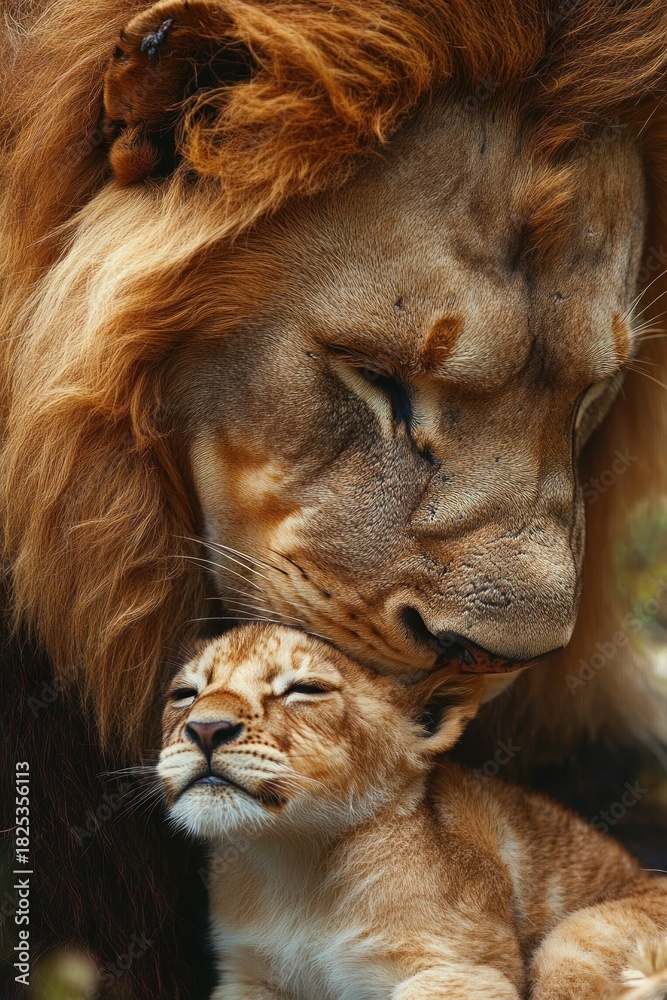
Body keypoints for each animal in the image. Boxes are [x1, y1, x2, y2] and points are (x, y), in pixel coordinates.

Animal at [160, 623, 667, 1000]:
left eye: (306, 689)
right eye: (184, 693)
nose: (205, 729)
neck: (294, 865)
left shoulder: (470, 970)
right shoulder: (246, 976)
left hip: (576, 939)